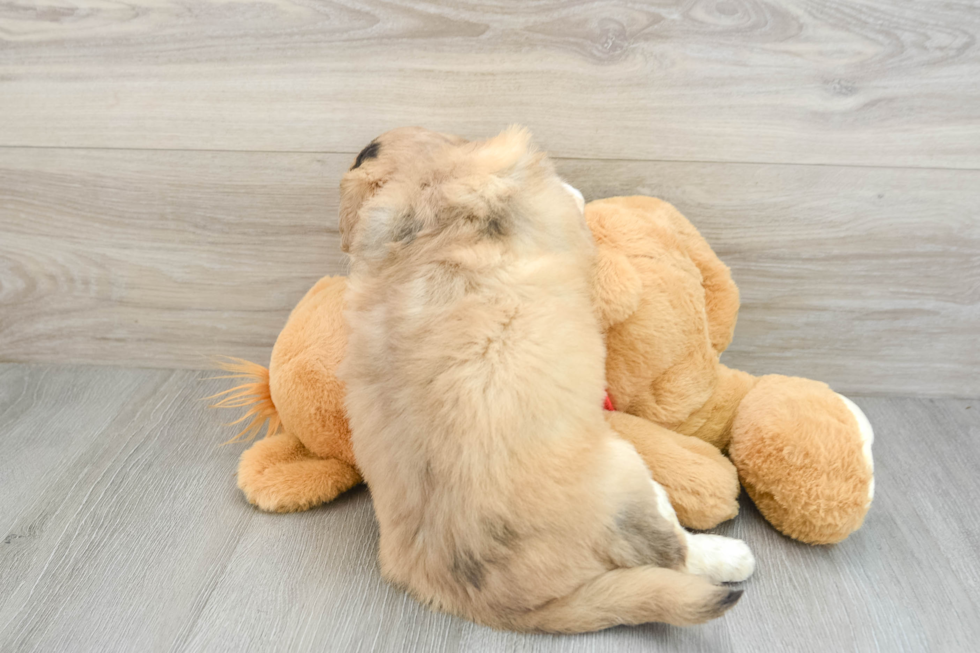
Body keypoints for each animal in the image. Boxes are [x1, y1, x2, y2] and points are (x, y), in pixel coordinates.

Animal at [334, 125, 756, 628]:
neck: (423, 199)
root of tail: (493, 604)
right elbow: (571, 201)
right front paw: (576, 191)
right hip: (627, 475)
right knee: (671, 548)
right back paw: (731, 556)